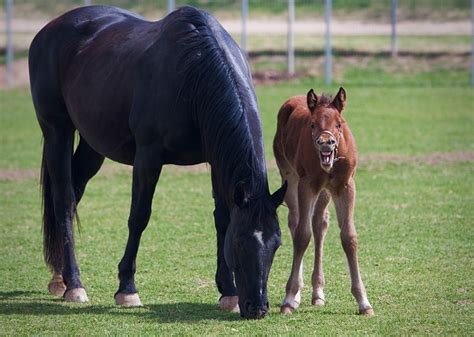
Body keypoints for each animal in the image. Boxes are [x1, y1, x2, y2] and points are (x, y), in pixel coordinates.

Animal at [30, 6, 288, 318]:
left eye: (277, 243)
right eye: (240, 241)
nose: (258, 307)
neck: (193, 73)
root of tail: (49, 29)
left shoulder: (216, 160)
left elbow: (222, 218)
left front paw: (228, 291)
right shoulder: (148, 157)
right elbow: (139, 217)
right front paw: (127, 289)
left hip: (93, 145)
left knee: (74, 192)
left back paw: (59, 278)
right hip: (57, 131)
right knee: (64, 199)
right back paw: (75, 284)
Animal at [274, 86, 374, 316]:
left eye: (339, 123)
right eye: (312, 124)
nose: (326, 144)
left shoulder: (345, 186)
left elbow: (349, 238)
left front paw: (364, 302)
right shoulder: (307, 184)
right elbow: (302, 236)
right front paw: (289, 298)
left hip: (325, 192)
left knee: (319, 223)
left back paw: (317, 293)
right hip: (290, 177)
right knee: (295, 222)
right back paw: (297, 294)